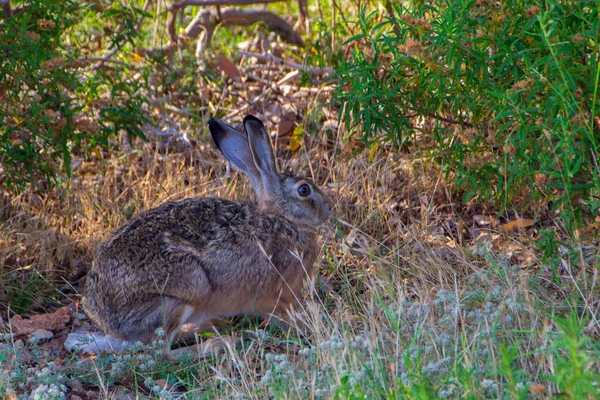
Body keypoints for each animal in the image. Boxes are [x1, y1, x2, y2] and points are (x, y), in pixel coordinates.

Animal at [81, 115, 330, 354]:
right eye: (304, 190)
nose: (327, 210)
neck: (282, 218)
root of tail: (103, 316)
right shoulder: (275, 295)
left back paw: (212, 327)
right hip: (179, 297)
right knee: (162, 352)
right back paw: (217, 344)